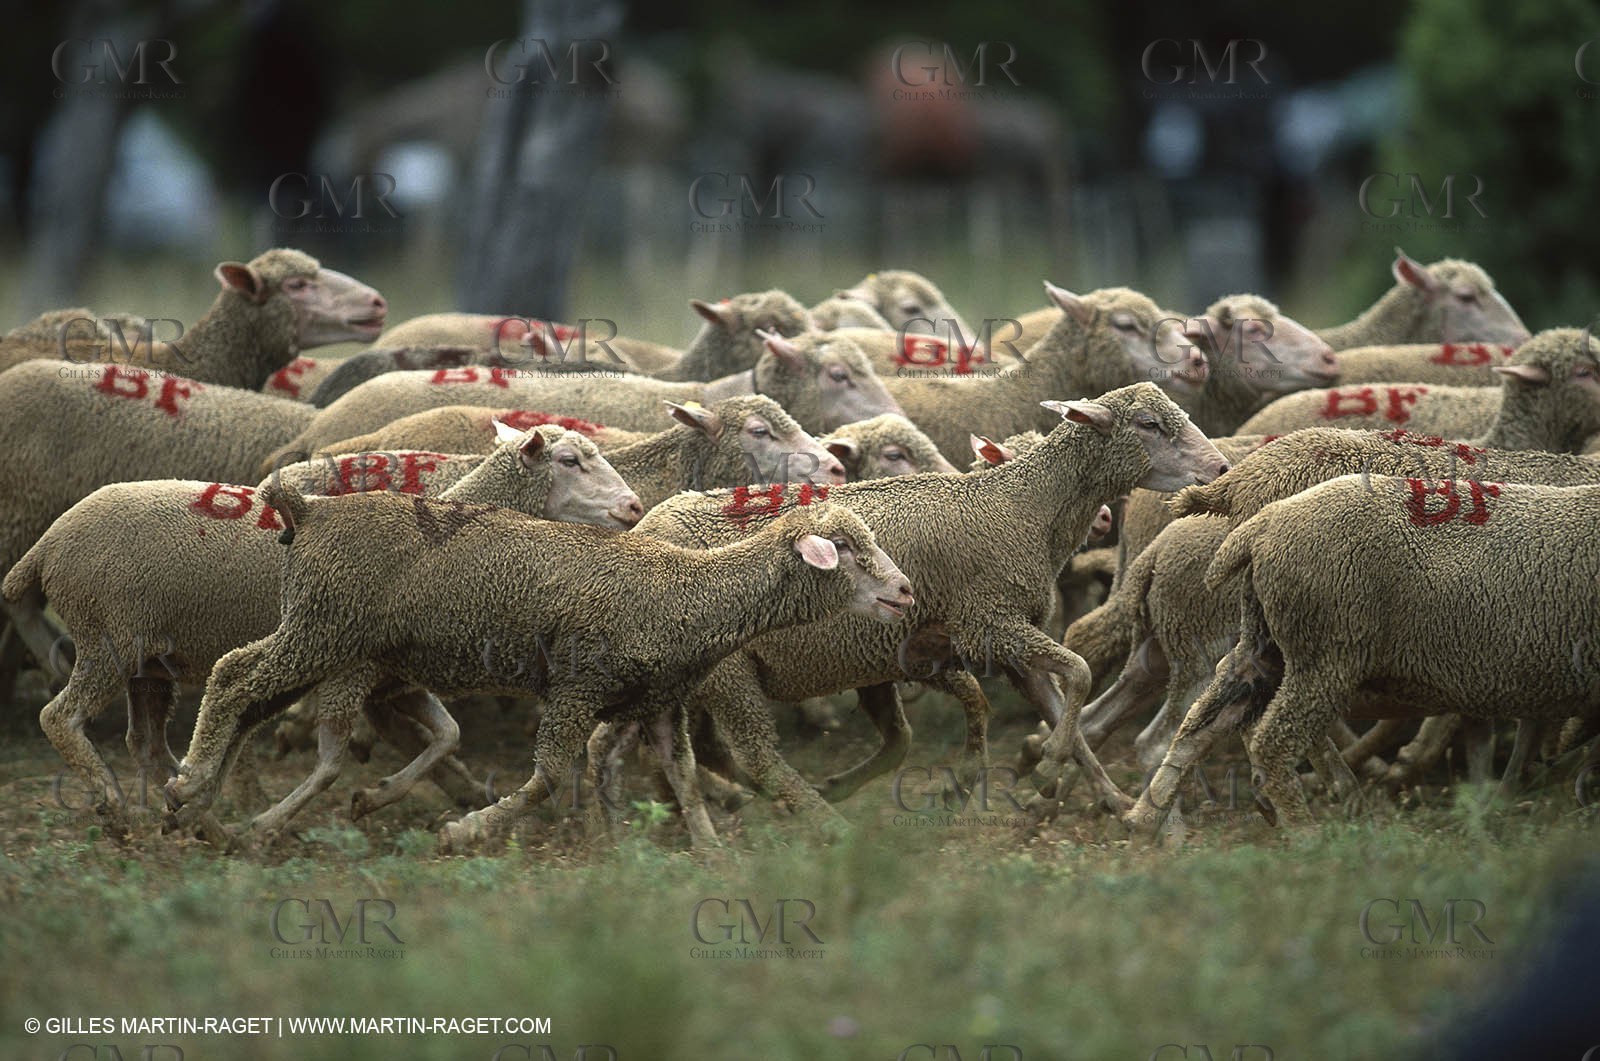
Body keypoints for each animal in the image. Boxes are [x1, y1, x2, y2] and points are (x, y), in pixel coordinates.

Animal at [7, 423, 641, 830]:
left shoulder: (394, 680)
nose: (635, 507)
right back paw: (120, 803)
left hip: (149, 661)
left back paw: (189, 806)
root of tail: (47, 543)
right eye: (569, 461)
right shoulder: (364, 674)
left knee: (145, 741)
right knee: (59, 716)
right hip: (108, 641)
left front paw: (379, 796)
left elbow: (447, 735)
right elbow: (394, 743)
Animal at [163, 494, 913, 851]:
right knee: (233, 677)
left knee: (253, 701)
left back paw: (215, 817)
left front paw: (711, 852)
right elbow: (549, 775)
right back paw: (194, 787)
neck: (682, 592)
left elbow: (684, 777)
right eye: (848, 550)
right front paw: (466, 832)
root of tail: (310, 508)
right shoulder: (577, 687)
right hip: (321, 627)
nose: (906, 591)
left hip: (340, 642)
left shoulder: (657, 703)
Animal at [1127, 475, 1600, 834]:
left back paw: (1145, 815)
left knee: (1204, 719)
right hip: (1325, 654)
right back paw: (1306, 833)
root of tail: (1263, 524)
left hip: (1265, 646)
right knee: (1272, 741)